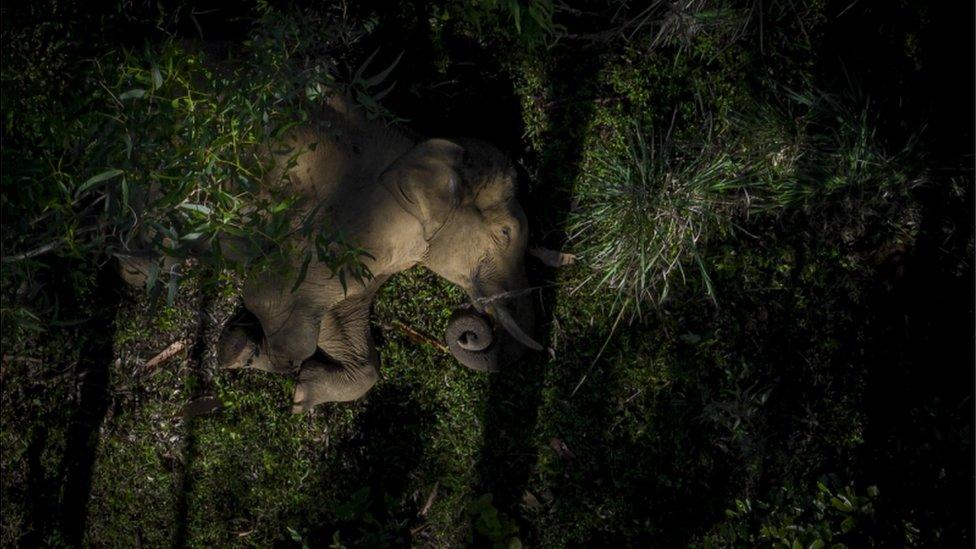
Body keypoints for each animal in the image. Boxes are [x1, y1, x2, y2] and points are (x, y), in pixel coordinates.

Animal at [210, 93, 540, 412]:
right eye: (505, 233)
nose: (469, 333)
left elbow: (341, 324)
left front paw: (301, 394)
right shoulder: (334, 229)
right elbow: (273, 304)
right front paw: (240, 351)